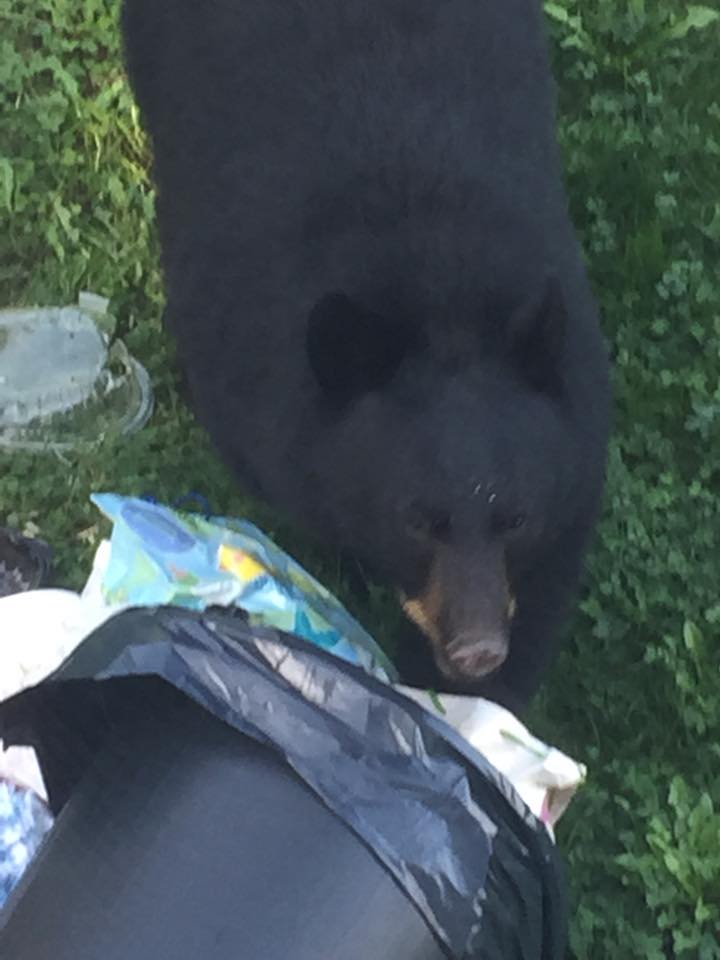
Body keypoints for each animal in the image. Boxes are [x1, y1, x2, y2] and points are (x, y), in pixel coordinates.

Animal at [121, 0, 611, 711]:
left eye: (516, 516)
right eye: (417, 519)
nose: (477, 649)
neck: (443, 302)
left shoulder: (576, 419)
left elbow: (546, 576)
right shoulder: (249, 376)